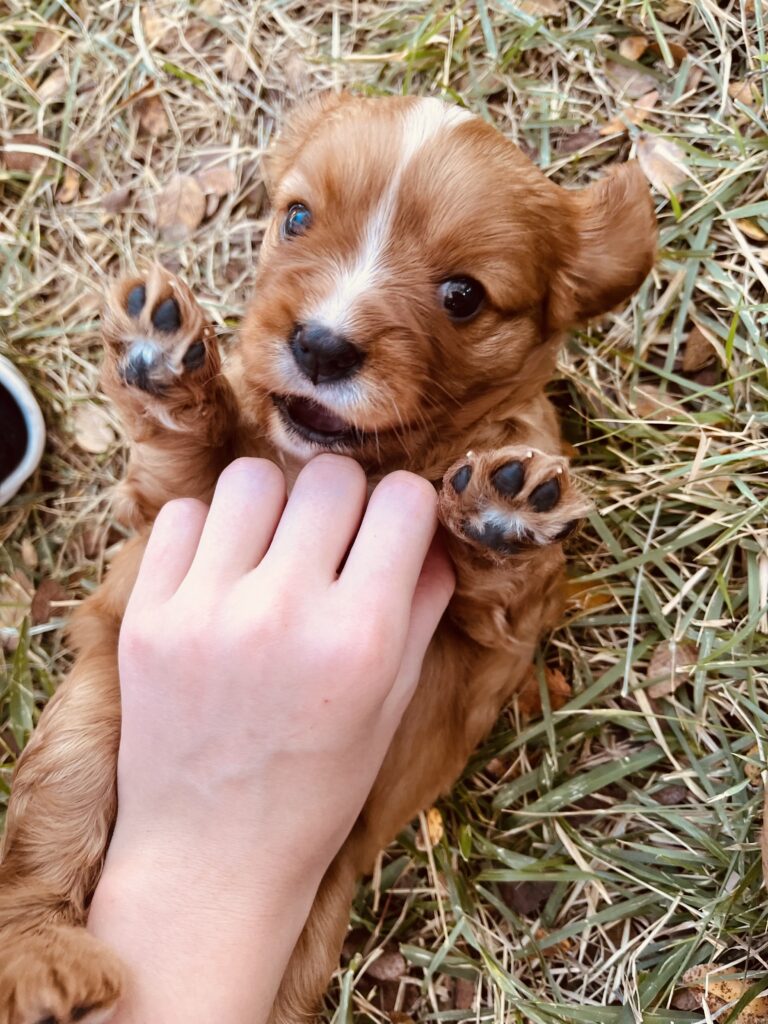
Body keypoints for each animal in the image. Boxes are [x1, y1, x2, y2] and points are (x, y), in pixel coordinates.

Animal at [0, 93, 656, 1024]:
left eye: (462, 295)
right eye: (297, 219)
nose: (319, 345)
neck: (347, 461)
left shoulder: (487, 645)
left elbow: (495, 586)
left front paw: (499, 511)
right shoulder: (167, 514)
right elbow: (184, 462)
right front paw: (162, 369)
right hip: (90, 720)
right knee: (40, 854)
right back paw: (41, 961)